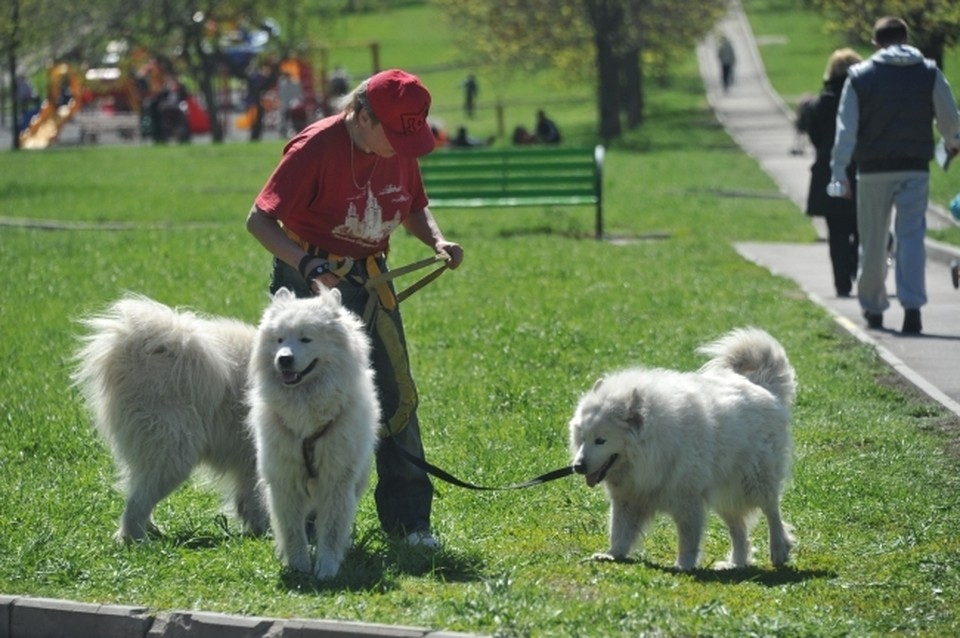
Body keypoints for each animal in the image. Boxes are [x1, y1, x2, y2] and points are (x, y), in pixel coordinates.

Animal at [72, 298, 268, 544]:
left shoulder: (250, 461)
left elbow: (253, 497)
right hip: (172, 452)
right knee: (137, 503)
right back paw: (137, 540)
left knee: (138, 492)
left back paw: (151, 531)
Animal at [246, 288, 380, 584]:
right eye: (279, 339)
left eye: (306, 338)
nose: (283, 359)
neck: (306, 413)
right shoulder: (284, 479)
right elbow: (292, 530)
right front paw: (298, 567)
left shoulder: (337, 479)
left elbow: (331, 529)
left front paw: (326, 568)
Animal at [568, 328, 796, 572]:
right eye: (583, 438)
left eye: (600, 440)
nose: (578, 466)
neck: (655, 444)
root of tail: (762, 386)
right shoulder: (628, 498)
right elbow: (619, 531)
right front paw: (612, 555)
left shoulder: (687, 501)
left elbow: (688, 539)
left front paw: (684, 566)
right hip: (725, 492)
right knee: (739, 529)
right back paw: (735, 563)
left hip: (755, 481)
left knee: (772, 512)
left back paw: (778, 550)